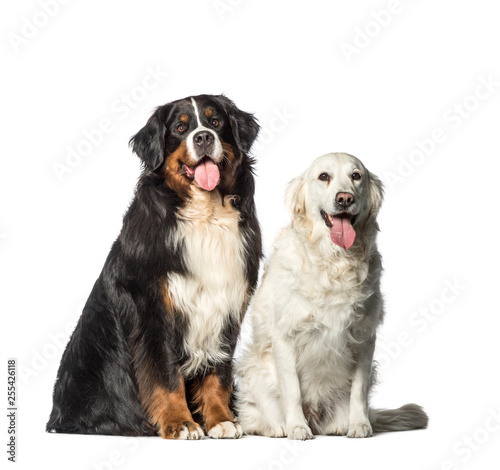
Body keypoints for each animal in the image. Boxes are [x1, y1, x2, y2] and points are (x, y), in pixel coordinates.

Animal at [47, 93, 264, 438]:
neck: (205, 218)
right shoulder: (152, 307)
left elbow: (218, 371)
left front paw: (221, 419)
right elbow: (165, 374)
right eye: (180, 128)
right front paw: (181, 423)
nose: (203, 137)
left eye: (216, 121)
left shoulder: (227, 302)